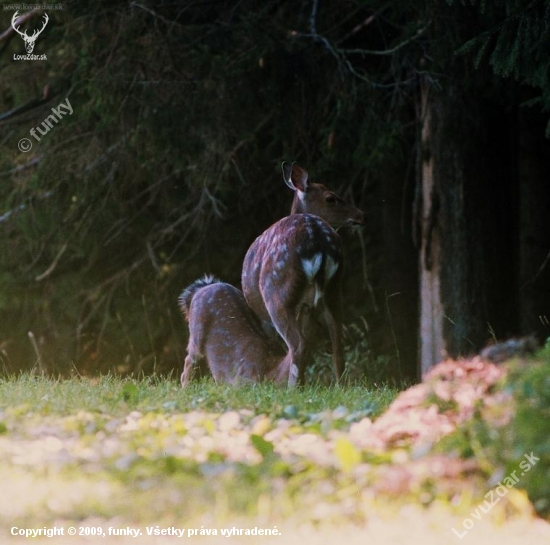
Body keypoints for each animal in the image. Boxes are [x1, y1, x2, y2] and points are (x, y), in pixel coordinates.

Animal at [243, 164, 366, 384]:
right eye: (331, 198)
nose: (361, 215)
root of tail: (318, 239)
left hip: (277, 292)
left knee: (298, 344)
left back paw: (294, 385)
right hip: (334, 289)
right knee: (337, 340)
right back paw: (339, 385)